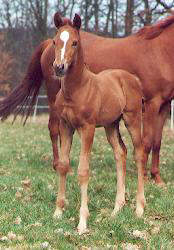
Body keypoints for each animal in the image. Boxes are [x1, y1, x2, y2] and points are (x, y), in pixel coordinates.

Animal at [0, 13, 173, 186]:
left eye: (75, 43)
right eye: (58, 42)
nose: (58, 67)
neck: (158, 52)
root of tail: (47, 43)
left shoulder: (164, 105)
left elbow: (157, 141)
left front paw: (157, 177)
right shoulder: (152, 103)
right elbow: (148, 141)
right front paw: (144, 176)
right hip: (53, 99)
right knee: (54, 129)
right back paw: (58, 165)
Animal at [53, 14, 147, 235]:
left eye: (75, 42)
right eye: (54, 41)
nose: (59, 67)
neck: (76, 89)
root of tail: (133, 78)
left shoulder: (87, 128)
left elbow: (83, 171)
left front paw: (82, 222)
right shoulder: (65, 126)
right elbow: (63, 165)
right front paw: (58, 212)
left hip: (132, 120)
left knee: (139, 154)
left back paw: (139, 208)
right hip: (111, 125)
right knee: (120, 153)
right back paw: (116, 209)